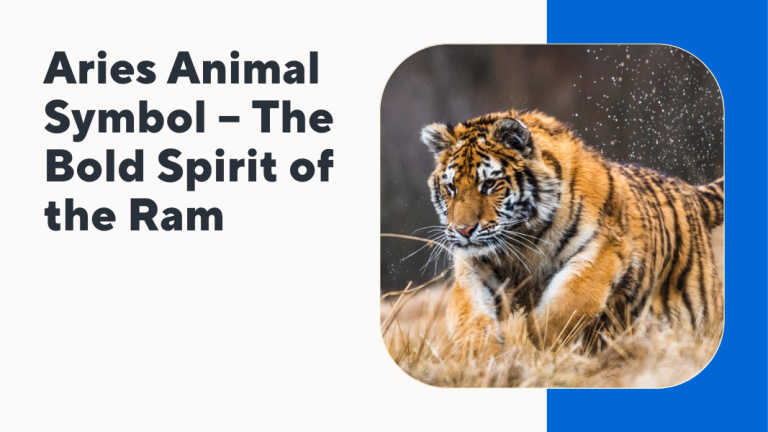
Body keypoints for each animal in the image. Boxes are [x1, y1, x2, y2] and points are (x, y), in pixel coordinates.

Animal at [420, 109, 724, 353]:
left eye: (490, 184)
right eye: (451, 187)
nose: (464, 230)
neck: (522, 239)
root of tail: (691, 192)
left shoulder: (604, 249)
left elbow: (571, 298)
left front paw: (540, 337)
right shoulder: (474, 266)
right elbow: (469, 313)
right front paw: (480, 355)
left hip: (693, 311)